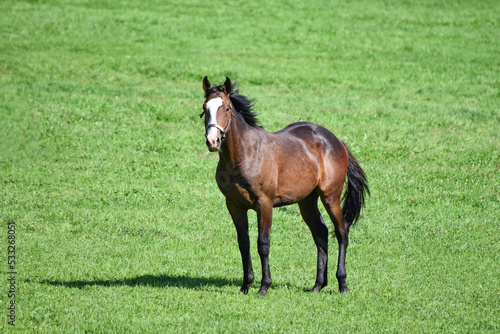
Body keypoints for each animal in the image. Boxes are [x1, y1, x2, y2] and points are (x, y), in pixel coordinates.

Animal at [198, 77, 368, 296]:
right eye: (204, 108)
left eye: (226, 108)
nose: (212, 141)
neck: (245, 155)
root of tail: (336, 141)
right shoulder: (234, 205)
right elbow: (244, 243)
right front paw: (245, 285)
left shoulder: (264, 204)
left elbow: (263, 243)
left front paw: (264, 286)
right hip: (307, 201)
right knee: (321, 233)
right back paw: (317, 285)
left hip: (330, 197)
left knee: (341, 232)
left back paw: (342, 284)